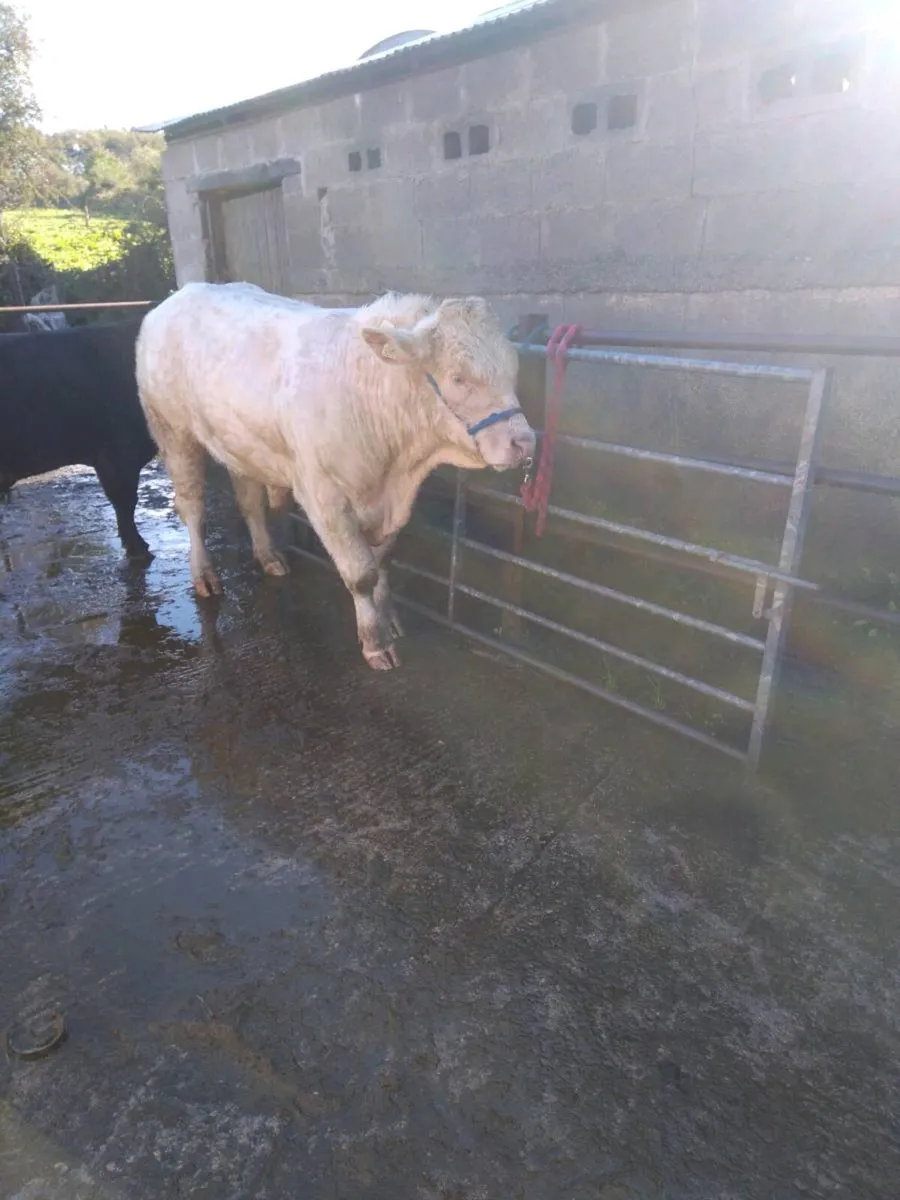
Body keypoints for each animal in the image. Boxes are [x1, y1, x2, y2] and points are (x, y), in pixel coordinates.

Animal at [136, 281, 535, 670]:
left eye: (514, 370)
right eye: (458, 377)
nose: (524, 442)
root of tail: (181, 294)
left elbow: (380, 561)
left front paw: (388, 618)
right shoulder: (323, 496)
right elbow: (361, 574)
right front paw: (375, 642)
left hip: (239, 444)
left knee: (249, 502)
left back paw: (268, 556)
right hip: (172, 431)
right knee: (192, 507)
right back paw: (204, 573)